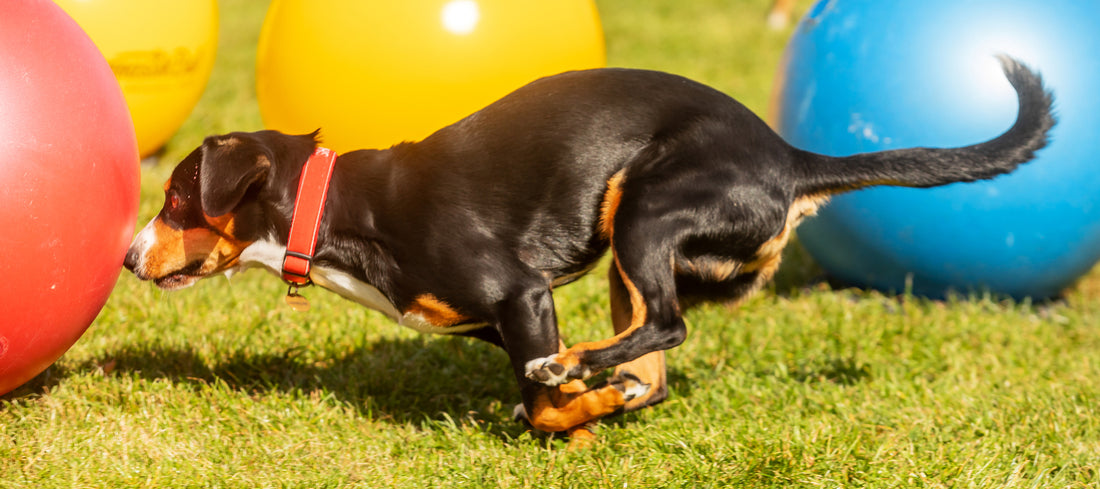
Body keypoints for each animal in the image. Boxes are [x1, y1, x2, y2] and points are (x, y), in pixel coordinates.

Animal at [124, 56, 1053, 441]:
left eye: (174, 199)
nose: (130, 257)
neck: (343, 208)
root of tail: (790, 160)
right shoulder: (502, 318)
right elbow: (562, 401)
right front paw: (588, 414)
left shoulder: (521, 292)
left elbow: (541, 402)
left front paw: (572, 401)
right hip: (628, 254)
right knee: (654, 359)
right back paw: (606, 380)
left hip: (645, 209)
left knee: (667, 328)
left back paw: (581, 371)